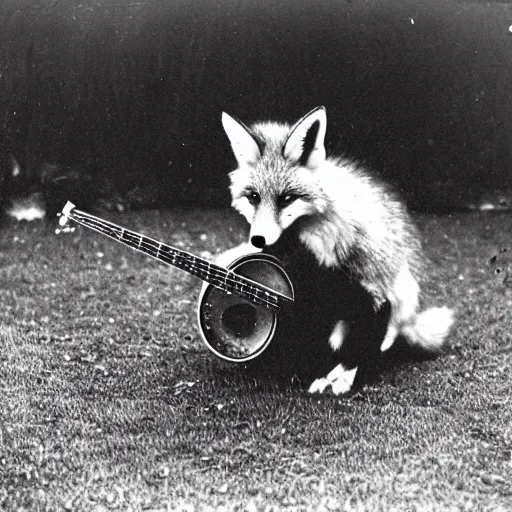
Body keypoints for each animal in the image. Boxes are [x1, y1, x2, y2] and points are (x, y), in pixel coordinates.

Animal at [218, 106, 454, 394]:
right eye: (254, 197)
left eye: (287, 199)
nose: (259, 240)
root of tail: (409, 319)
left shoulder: (359, 278)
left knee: (373, 341)